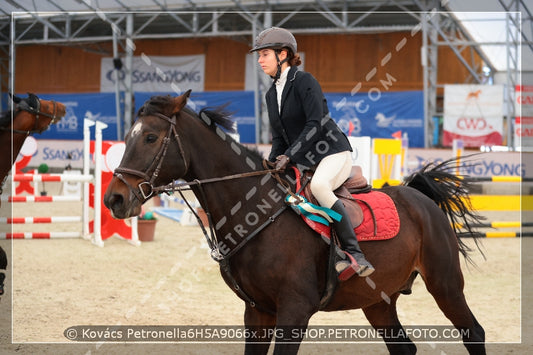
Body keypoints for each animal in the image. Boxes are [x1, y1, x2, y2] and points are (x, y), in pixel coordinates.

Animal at [103, 92, 486, 355]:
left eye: (150, 137)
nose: (114, 199)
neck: (256, 213)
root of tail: (419, 196)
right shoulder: (257, 312)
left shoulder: (294, 312)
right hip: (378, 301)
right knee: (404, 346)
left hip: (445, 284)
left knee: (474, 333)